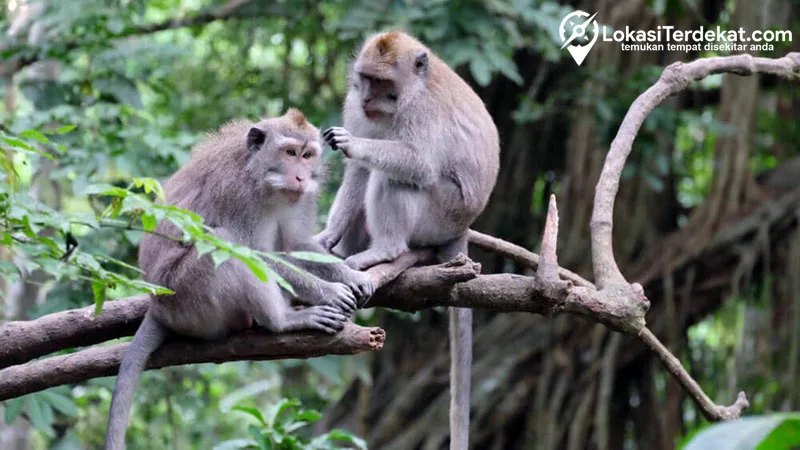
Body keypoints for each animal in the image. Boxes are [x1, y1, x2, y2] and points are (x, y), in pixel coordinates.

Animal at [104, 110, 376, 450]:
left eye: (307, 155)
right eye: (289, 153)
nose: (301, 177)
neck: (262, 176)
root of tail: (158, 306)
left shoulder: (302, 199)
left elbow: (298, 243)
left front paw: (350, 275)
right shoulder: (237, 193)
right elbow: (253, 253)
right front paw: (327, 292)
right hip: (189, 301)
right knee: (225, 242)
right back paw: (282, 320)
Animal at [314, 32, 496, 450]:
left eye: (383, 83)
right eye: (365, 79)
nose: (367, 98)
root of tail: (462, 228)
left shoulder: (422, 112)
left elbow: (417, 164)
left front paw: (354, 144)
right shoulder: (355, 106)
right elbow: (357, 170)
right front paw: (325, 238)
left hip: (440, 214)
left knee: (397, 177)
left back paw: (384, 252)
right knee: (374, 174)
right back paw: (342, 252)